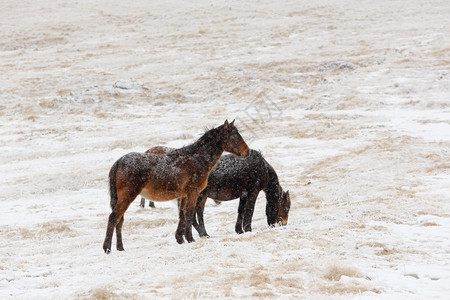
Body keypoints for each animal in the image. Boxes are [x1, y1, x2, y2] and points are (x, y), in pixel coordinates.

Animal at [102, 119, 250, 253]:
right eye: (233, 136)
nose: (247, 152)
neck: (197, 159)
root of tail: (119, 162)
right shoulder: (193, 193)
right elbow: (189, 214)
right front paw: (190, 239)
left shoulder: (183, 196)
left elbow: (182, 215)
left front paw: (180, 239)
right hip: (127, 196)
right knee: (113, 218)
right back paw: (107, 248)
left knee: (119, 221)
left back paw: (120, 248)